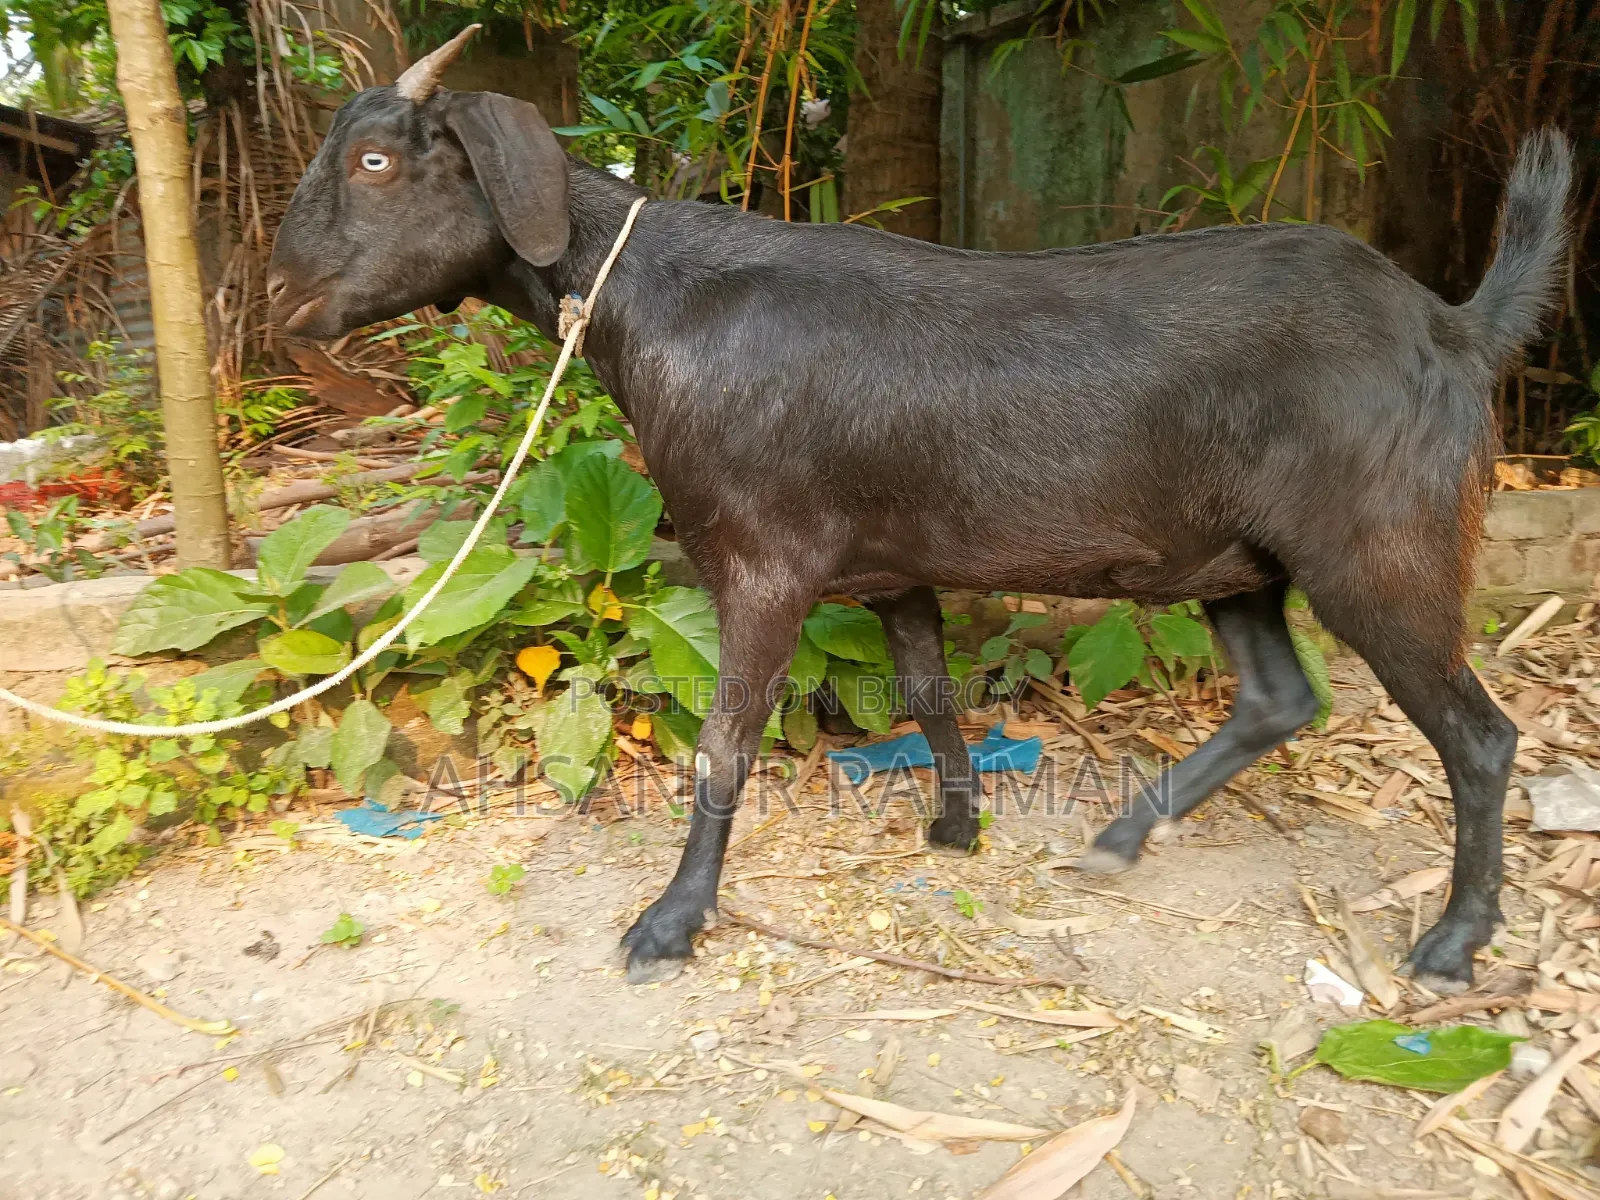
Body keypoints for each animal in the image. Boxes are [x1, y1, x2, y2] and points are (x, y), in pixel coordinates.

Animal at [268, 28, 1574, 991]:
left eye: (377, 161)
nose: (282, 296)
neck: (655, 300)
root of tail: (1454, 327)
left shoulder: (761, 560)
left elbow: (723, 745)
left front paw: (670, 922)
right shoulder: (888, 562)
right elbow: (930, 691)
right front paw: (957, 830)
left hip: (1380, 547)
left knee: (1478, 736)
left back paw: (1452, 943)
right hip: (1232, 557)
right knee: (1277, 697)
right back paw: (1119, 839)